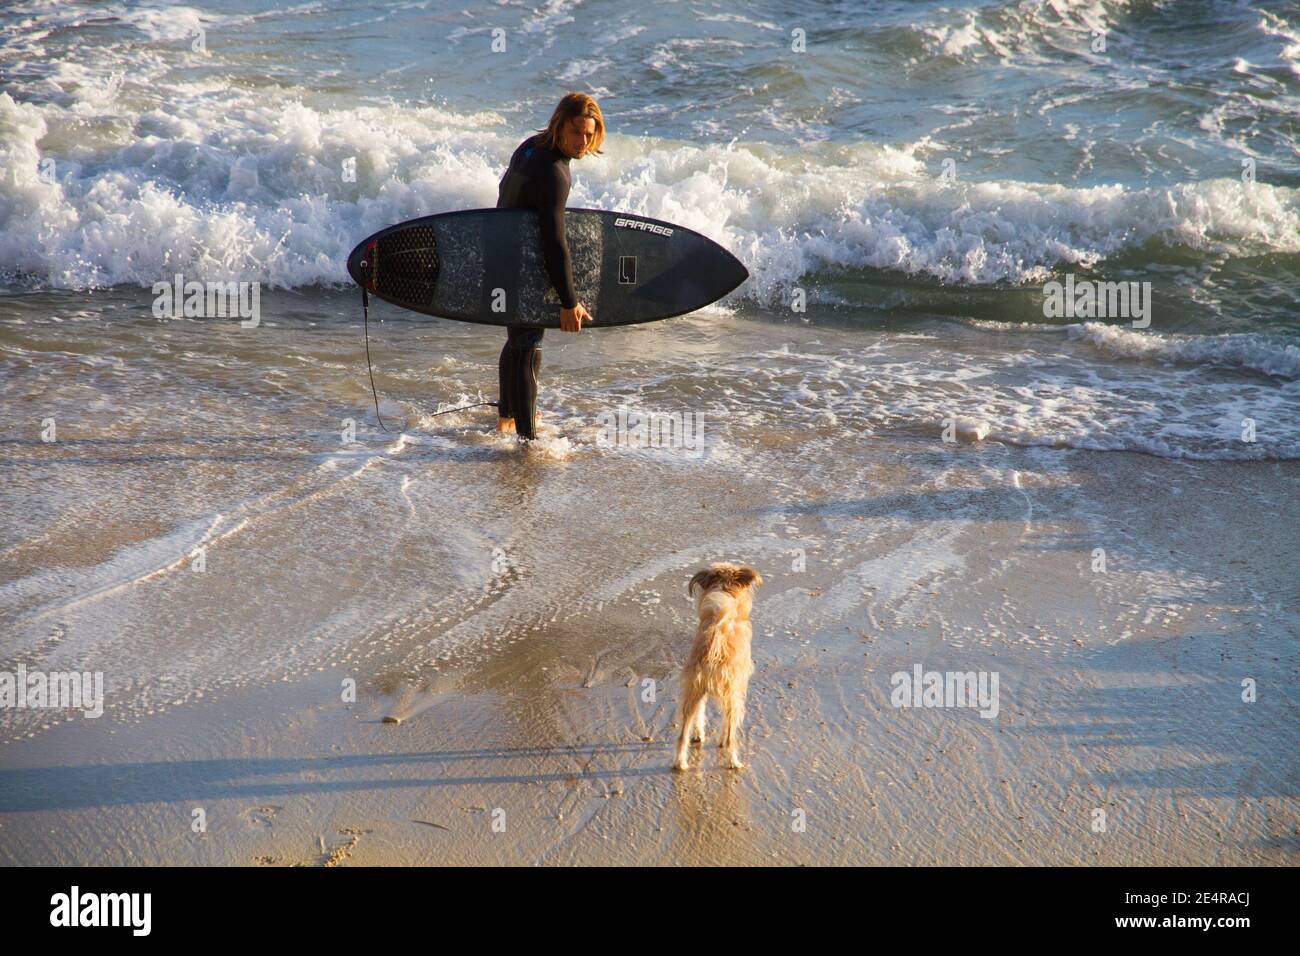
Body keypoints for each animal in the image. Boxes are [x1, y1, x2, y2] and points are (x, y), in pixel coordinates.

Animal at [676, 561, 764, 770]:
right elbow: (726, 726)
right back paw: (734, 762)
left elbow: (700, 714)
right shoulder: (737, 688)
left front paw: (699, 735)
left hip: (692, 691)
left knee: (682, 734)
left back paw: (680, 763)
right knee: (732, 733)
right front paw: (721, 741)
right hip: (732, 696)